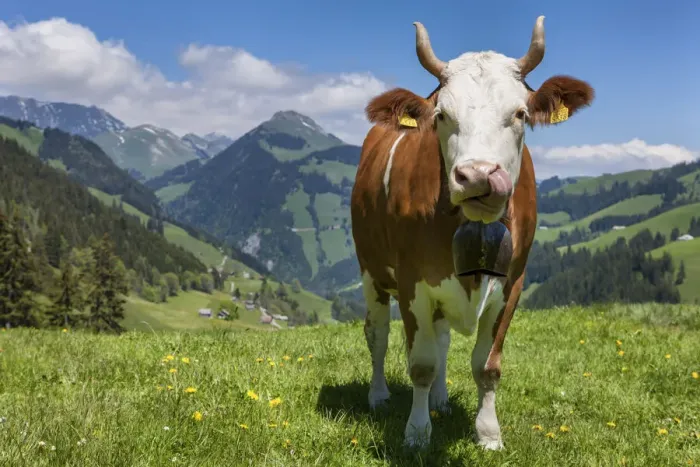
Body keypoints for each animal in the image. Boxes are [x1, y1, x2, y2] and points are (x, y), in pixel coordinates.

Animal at [350, 16, 594, 450]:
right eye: (441, 115)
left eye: (520, 113)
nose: (478, 175)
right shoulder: (413, 281)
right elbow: (421, 364)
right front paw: (417, 433)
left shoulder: (513, 282)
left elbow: (487, 366)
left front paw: (489, 433)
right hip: (371, 271)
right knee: (377, 334)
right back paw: (378, 395)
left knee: (443, 340)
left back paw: (441, 400)